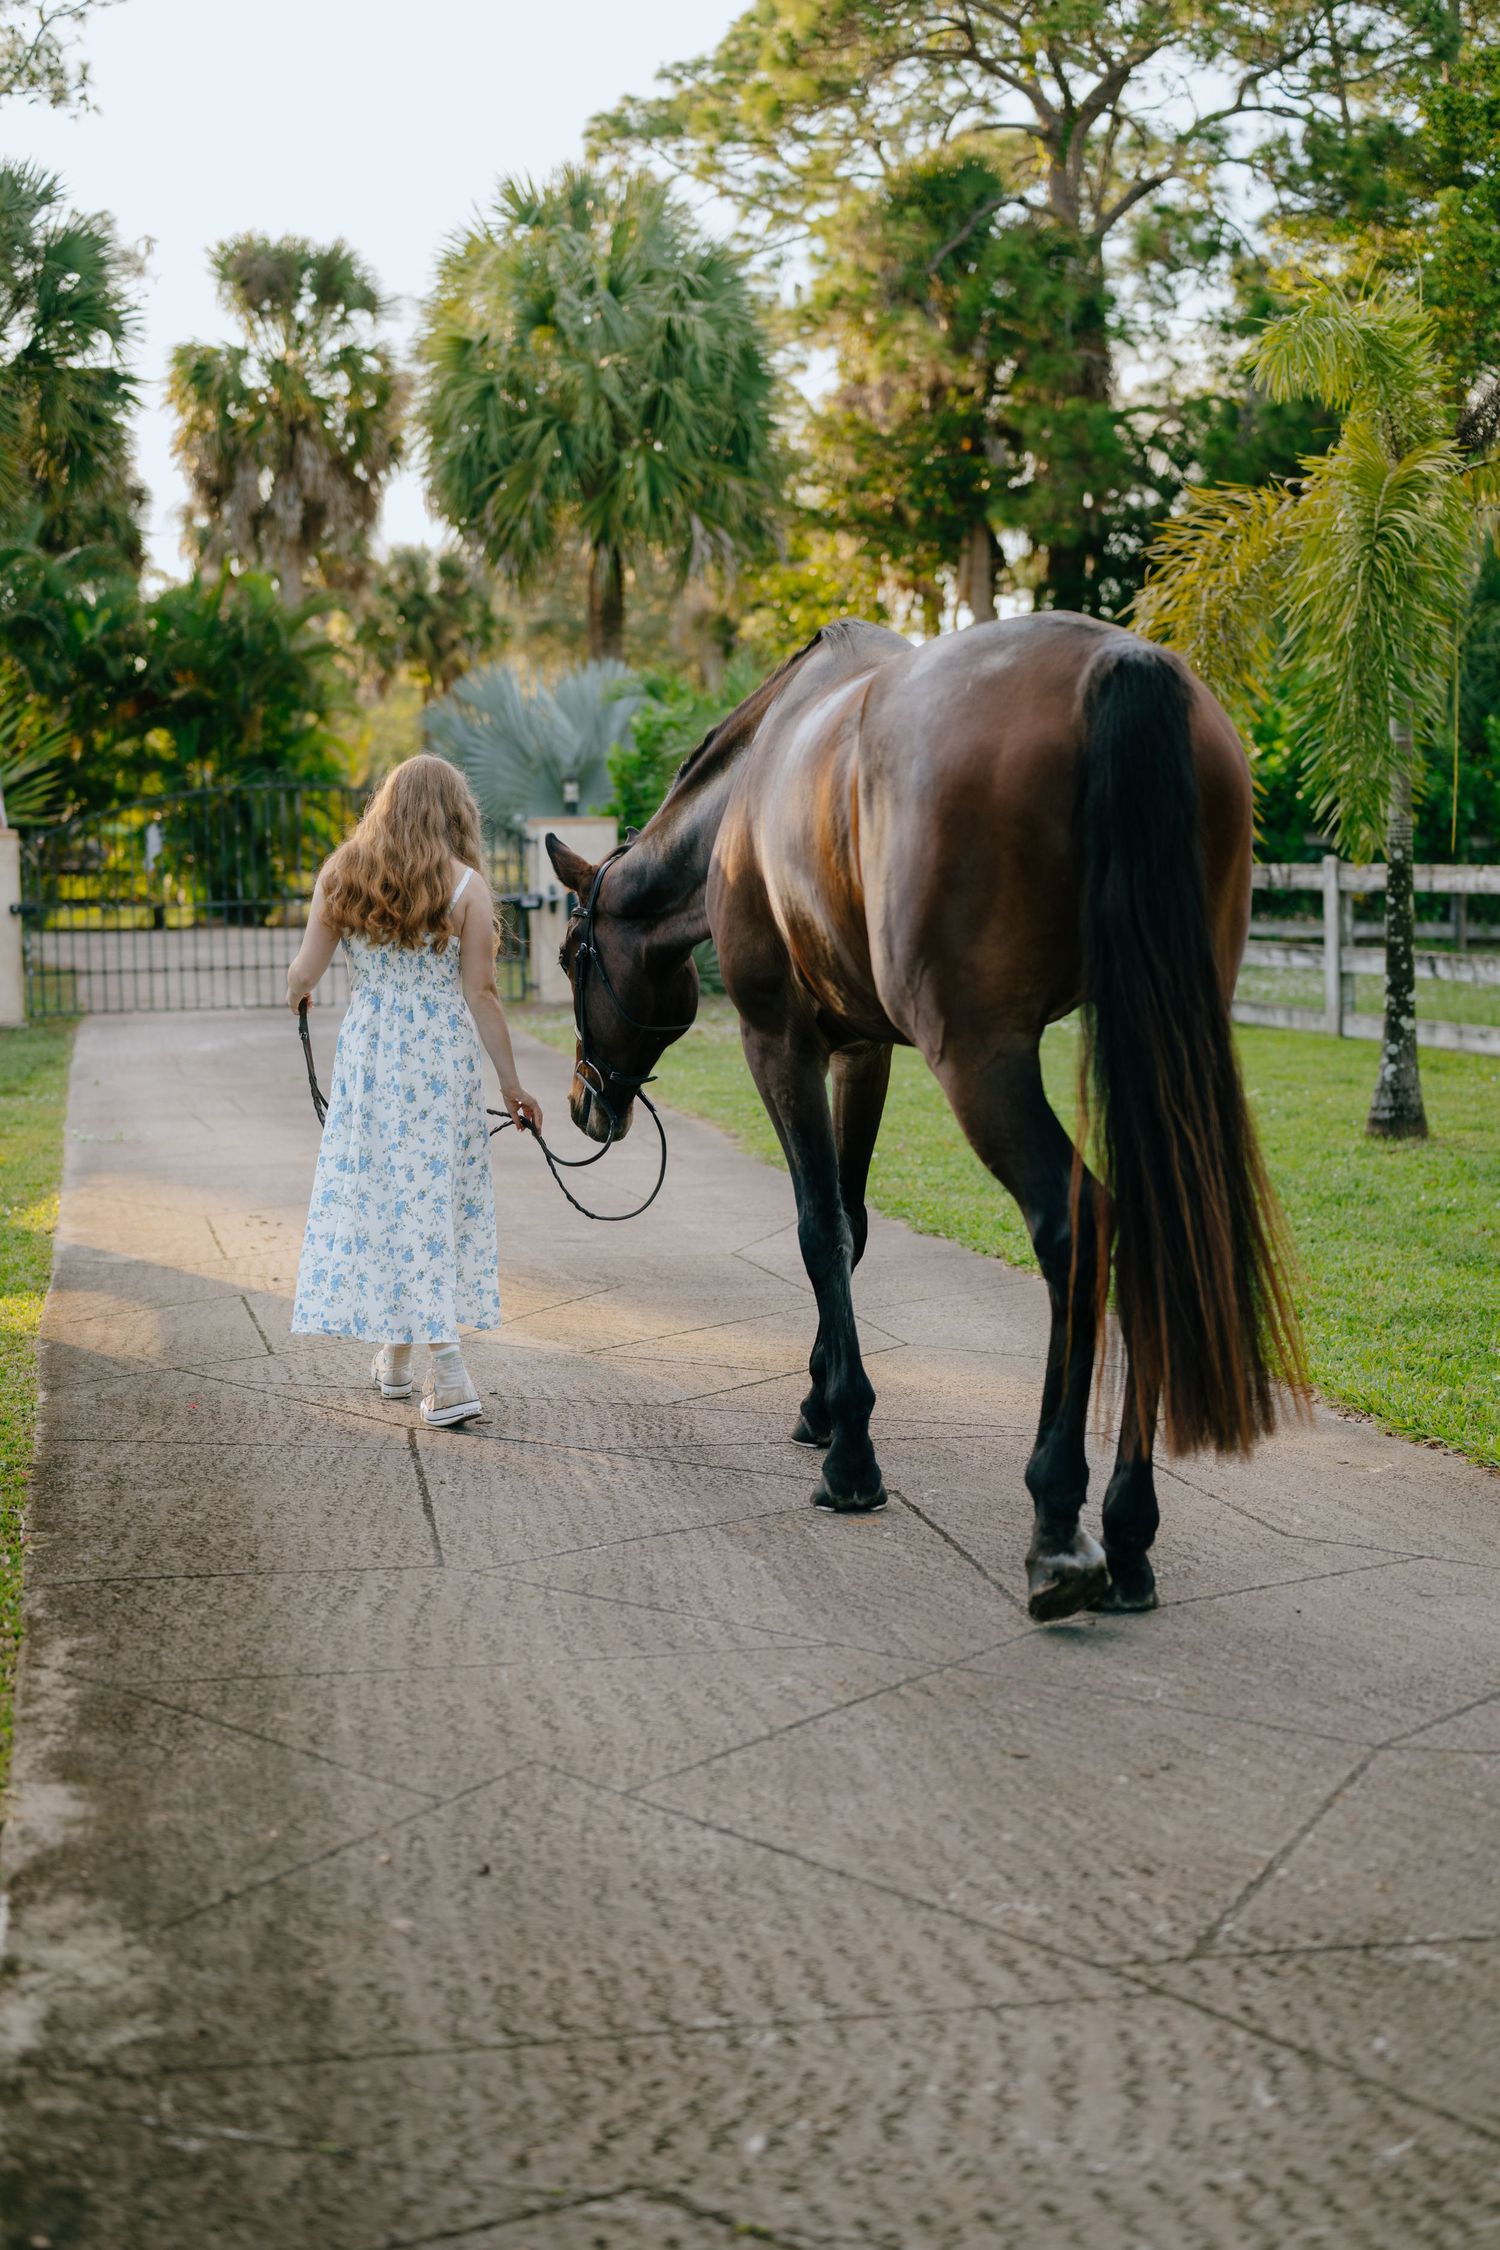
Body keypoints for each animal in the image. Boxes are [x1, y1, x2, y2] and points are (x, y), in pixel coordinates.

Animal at [545, 614, 1305, 1622]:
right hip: (1158, 1025)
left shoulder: (778, 1040)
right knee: (1151, 1222)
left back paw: (1060, 1523)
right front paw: (821, 1403)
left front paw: (850, 1453)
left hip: (981, 1055)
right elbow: (854, 1223)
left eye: (571, 956)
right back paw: (1131, 1530)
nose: (584, 1101)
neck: (743, 810)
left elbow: (818, 1227)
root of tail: (1118, 662)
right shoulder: (863, 1050)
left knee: (1077, 1226)